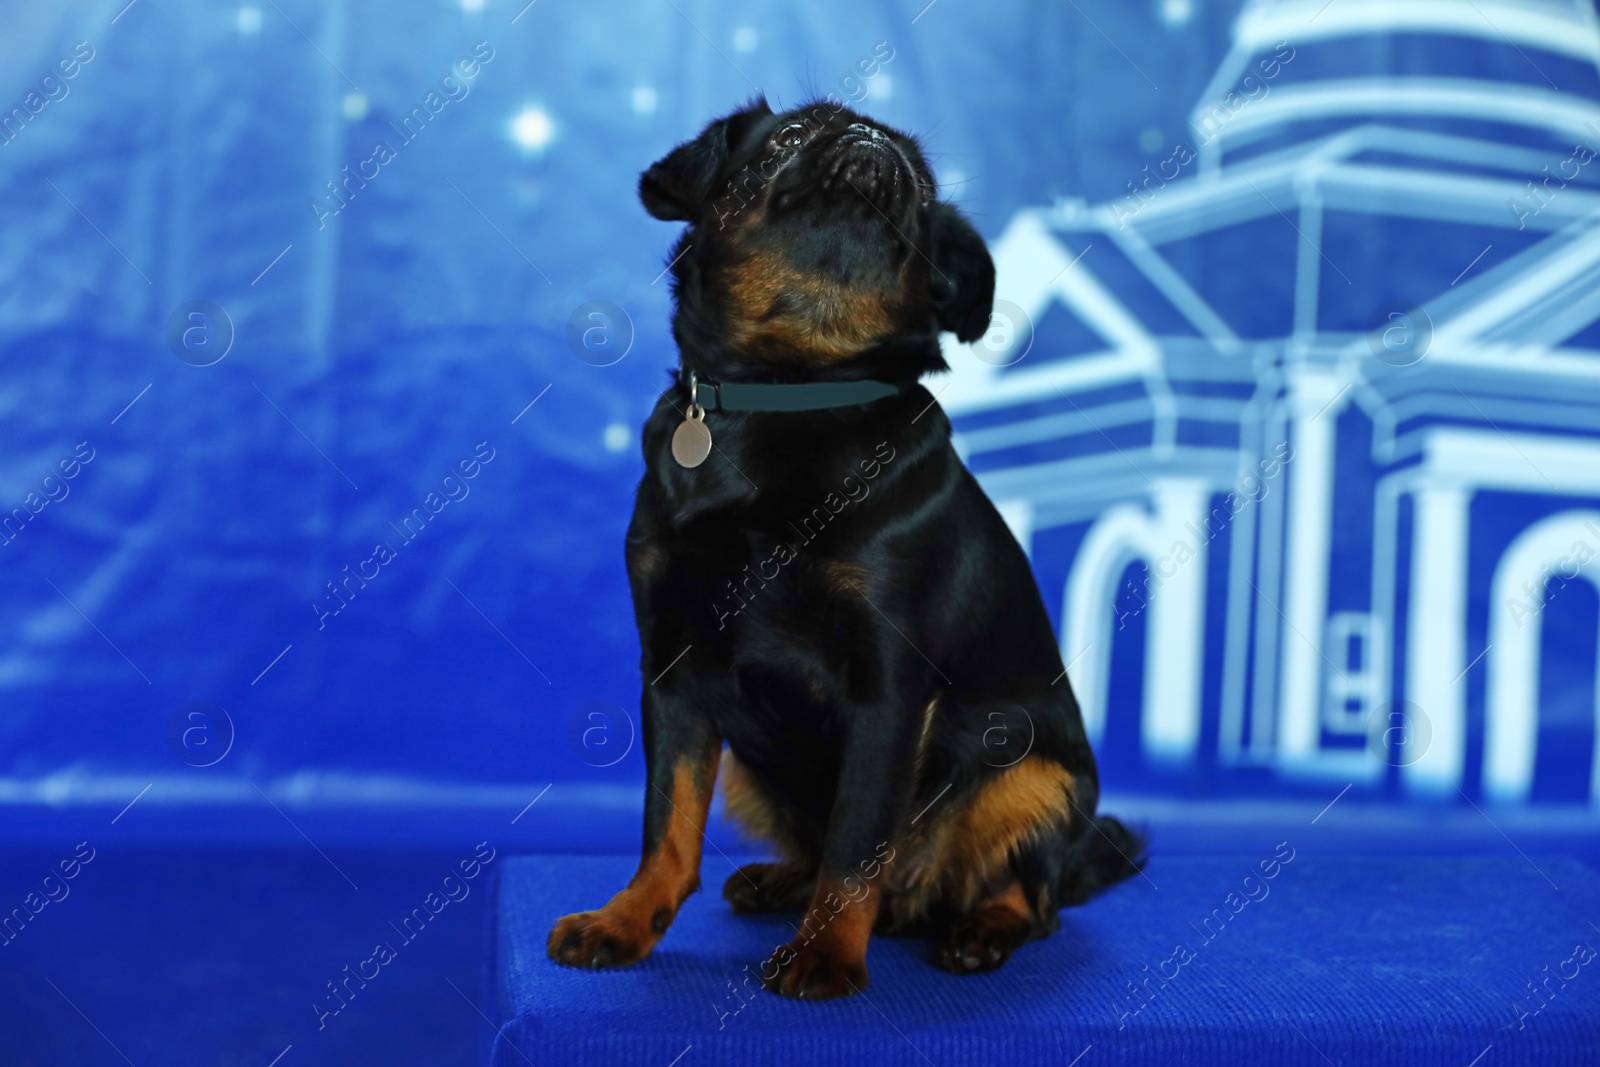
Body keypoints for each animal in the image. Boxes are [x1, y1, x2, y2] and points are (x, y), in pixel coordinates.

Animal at [550, 97, 1139, 1004]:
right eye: (788, 139)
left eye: (924, 190)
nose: (869, 140)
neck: (787, 391)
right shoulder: (673, 671)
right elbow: (668, 824)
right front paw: (627, 920)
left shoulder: (888, 687)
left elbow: (858, 840)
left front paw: (826, 952)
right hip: (752, 768)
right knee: (814, 847)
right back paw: (777, 882)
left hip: (1035, 773)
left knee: (1029, 895)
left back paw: (978, 929)